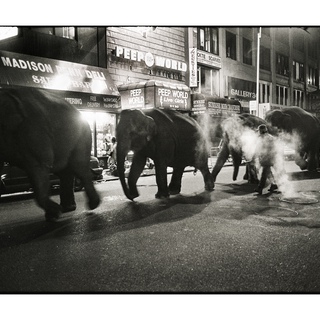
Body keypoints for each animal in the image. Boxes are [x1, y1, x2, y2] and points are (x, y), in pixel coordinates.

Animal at [0, 87, 100, 222]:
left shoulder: (33, 130)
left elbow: (39, 166)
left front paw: (55, 213)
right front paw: (54, 213)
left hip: (82, 136)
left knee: (79, 167)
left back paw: (90, 205)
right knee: (65, 171)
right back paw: (67, 208)